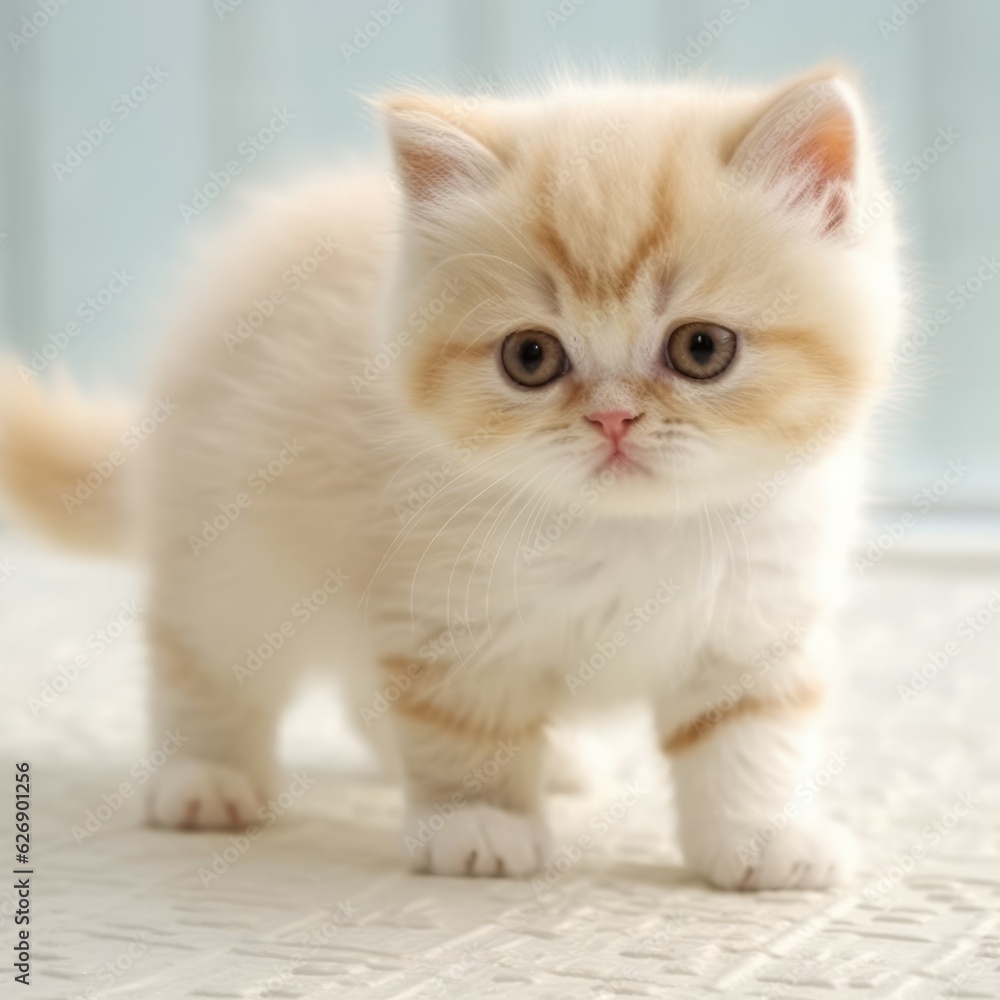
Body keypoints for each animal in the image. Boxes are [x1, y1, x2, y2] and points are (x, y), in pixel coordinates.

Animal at [0, 70, 904, 892]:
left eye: (702, 349)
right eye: (531, 357)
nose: (613, 419)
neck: (629, 530)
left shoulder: (758, 621)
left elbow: (750, 739)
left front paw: (761, 837)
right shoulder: (449, 611)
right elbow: (463, 721)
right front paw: (478, 823)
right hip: (232, 558)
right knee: (204, 662)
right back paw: (203, 780)